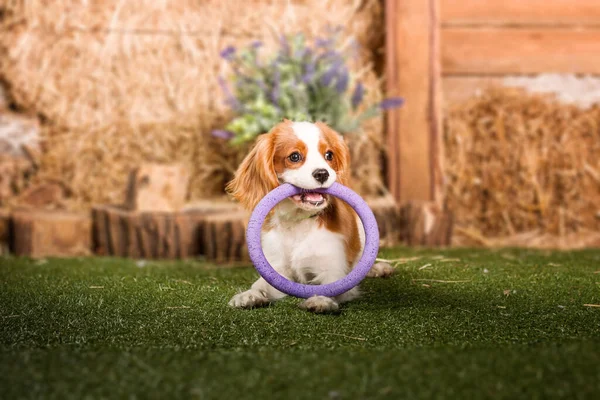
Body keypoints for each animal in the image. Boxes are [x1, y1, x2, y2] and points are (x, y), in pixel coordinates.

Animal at [226, 119, 394, 312]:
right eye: (294, 157)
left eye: (329, 155)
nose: (322, 173)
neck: (298, 223)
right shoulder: (277, 271)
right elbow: (260, 285)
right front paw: (249, 295)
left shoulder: (333, 269)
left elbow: (331, 286)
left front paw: (320, 300)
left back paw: (379, 268)